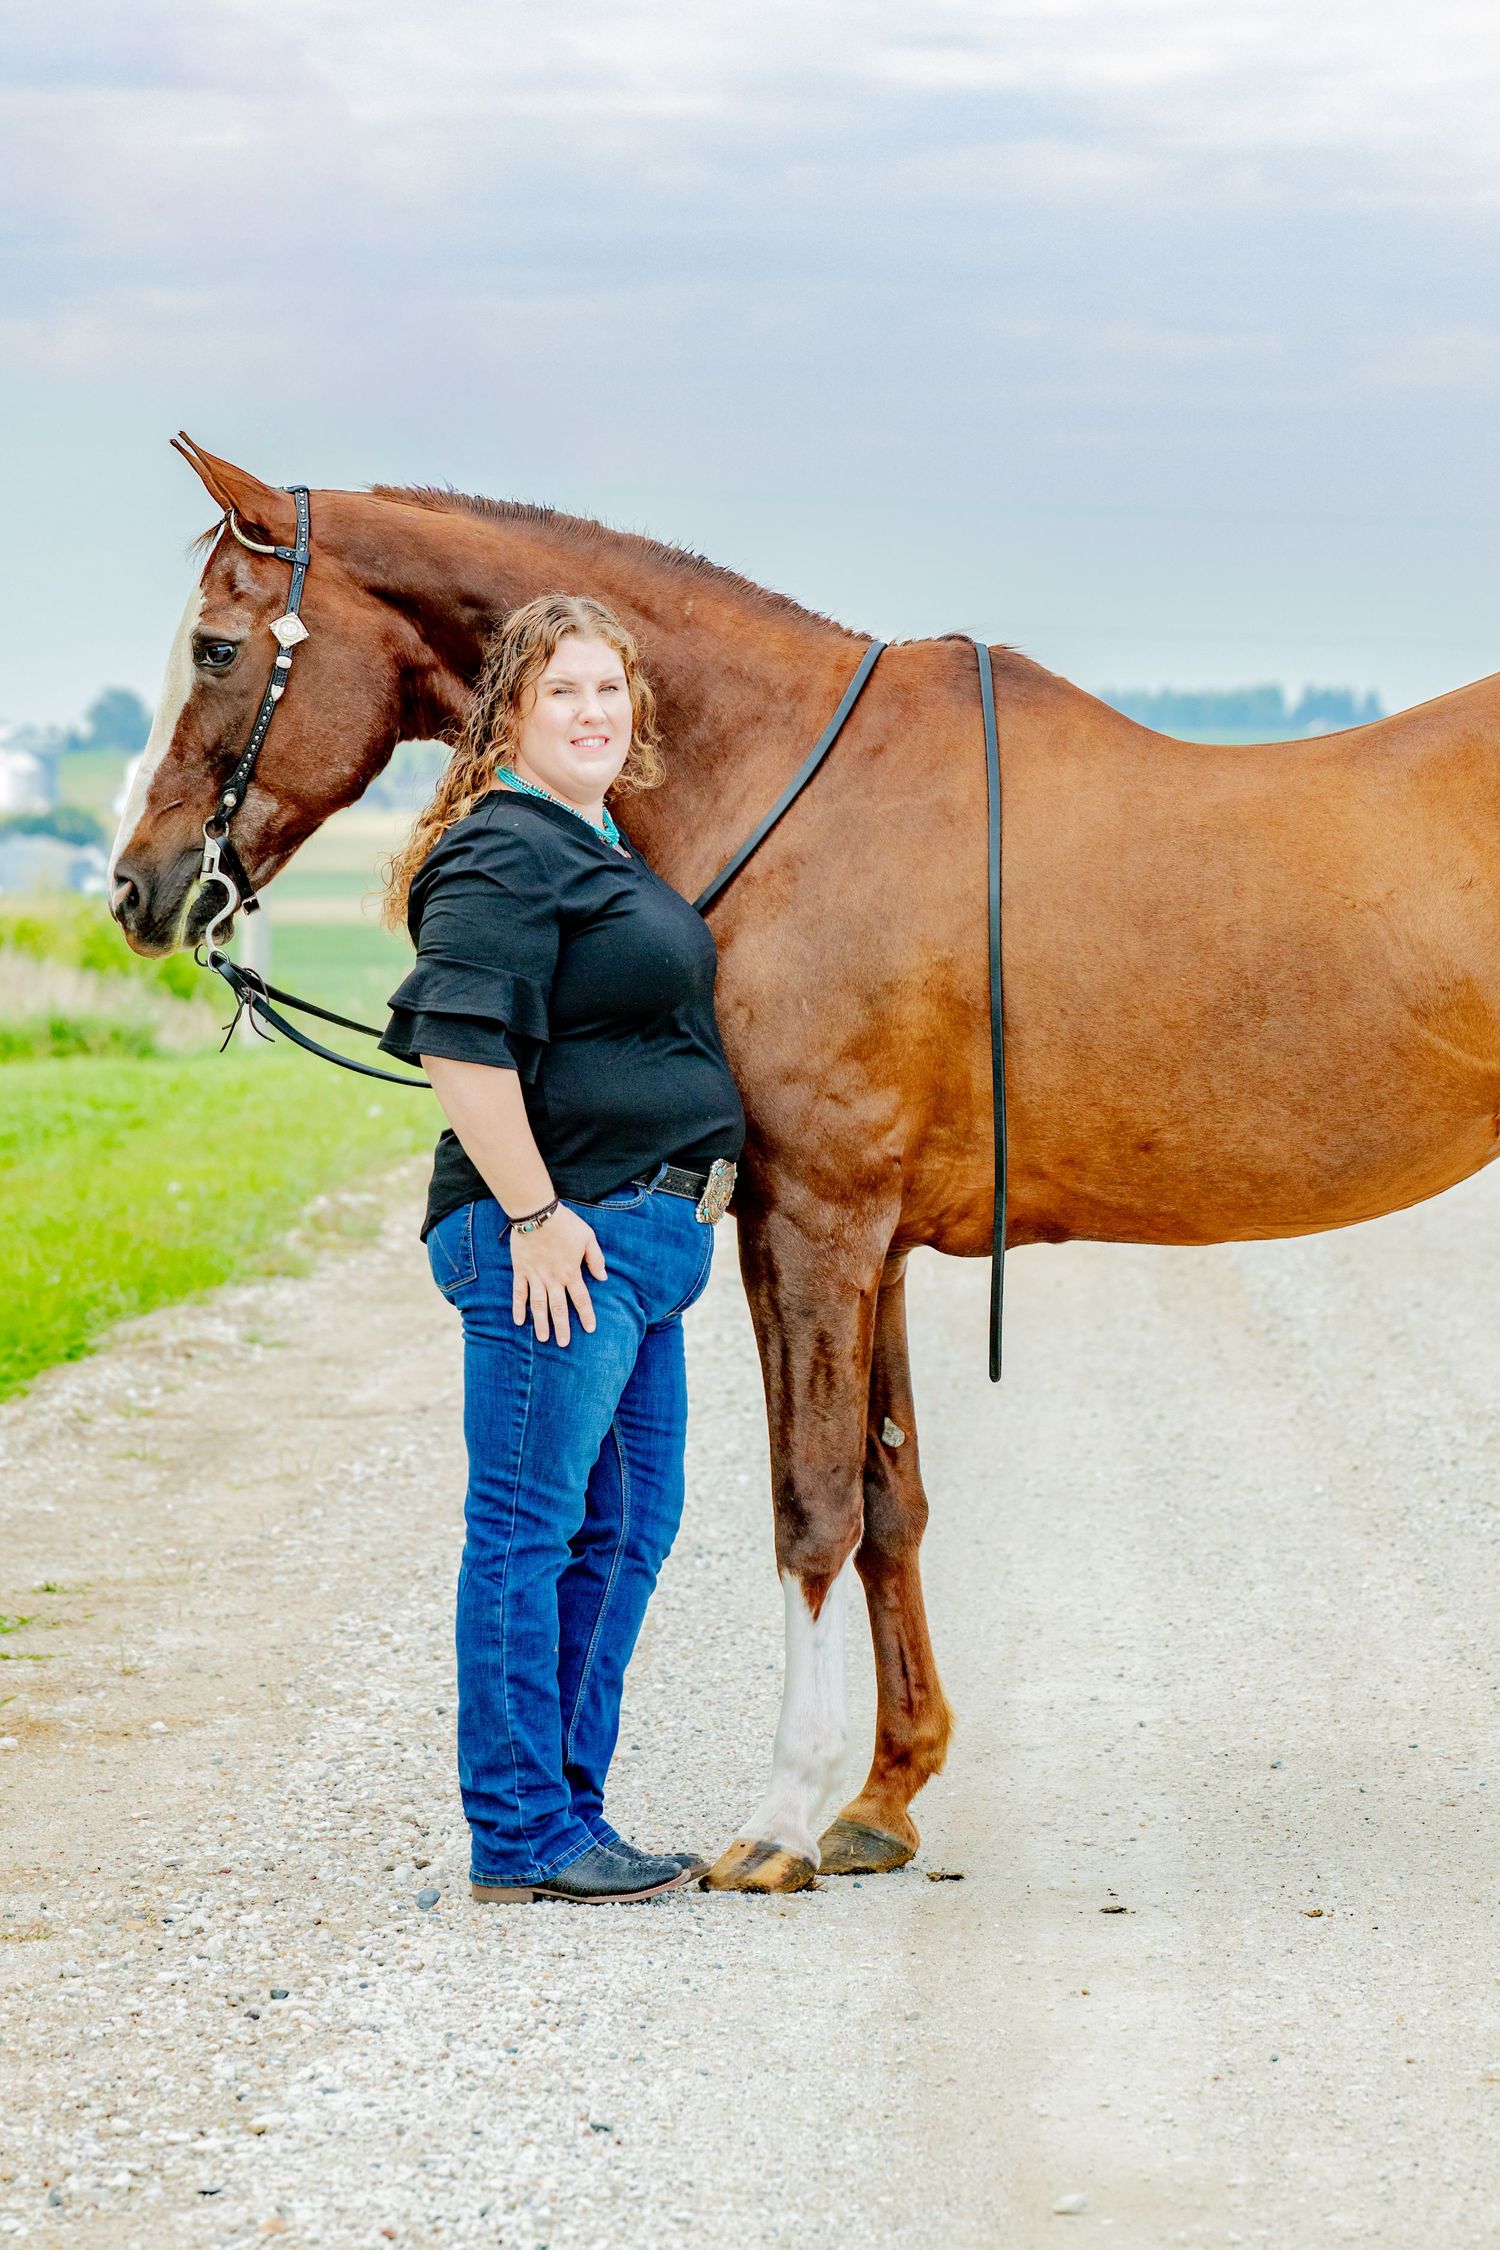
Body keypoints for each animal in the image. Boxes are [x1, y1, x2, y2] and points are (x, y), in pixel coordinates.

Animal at [110, 436, 1500, 1893]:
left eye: (217, 647)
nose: (139, 888)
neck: (793, 782)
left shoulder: (812, 1225)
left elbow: (811, 1508)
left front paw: (779, 1819)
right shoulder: (870, 1245)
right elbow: (890, 1504)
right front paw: (882, 1798)